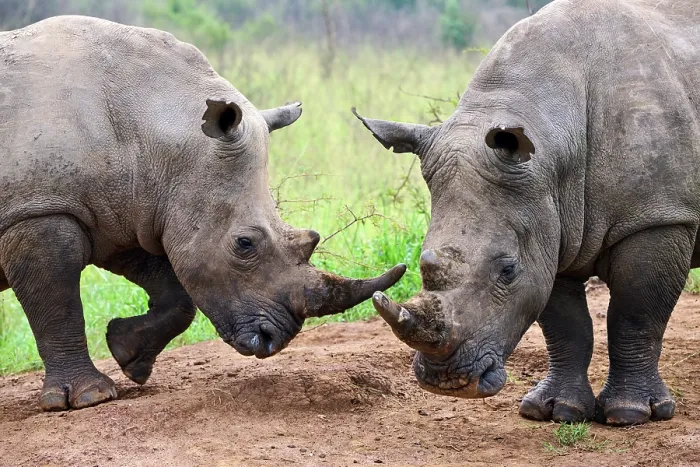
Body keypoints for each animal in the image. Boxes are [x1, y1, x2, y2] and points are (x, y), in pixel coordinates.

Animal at [0, 16, 405, 411]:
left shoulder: (131, 210)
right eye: (244, 244)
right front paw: (90, 398)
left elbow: (177, 294)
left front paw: (128, 356)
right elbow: (58, 305)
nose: (273, 340)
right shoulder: (37, 211)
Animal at [354, 0, 700, 426]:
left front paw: (630, 415)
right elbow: (566, 324)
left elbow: (634, 315)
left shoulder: (660, 216)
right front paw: (556, 411)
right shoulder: (548, 222)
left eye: (507, 270)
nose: (446, 382)